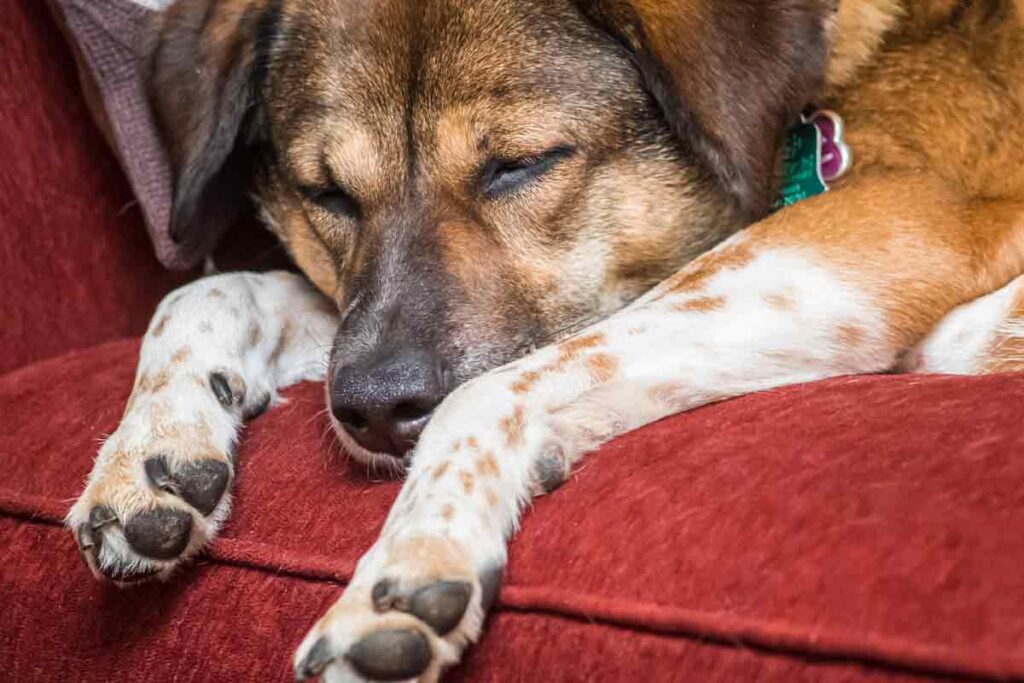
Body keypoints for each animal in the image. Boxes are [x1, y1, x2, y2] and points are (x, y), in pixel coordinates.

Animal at [66, 1, 1024, 679]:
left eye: (519, 164)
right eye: (326, 193)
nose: (371, 411)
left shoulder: (892, 224)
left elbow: (488, 386)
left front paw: (411, 562)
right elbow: (204, 289)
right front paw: (151, 454)